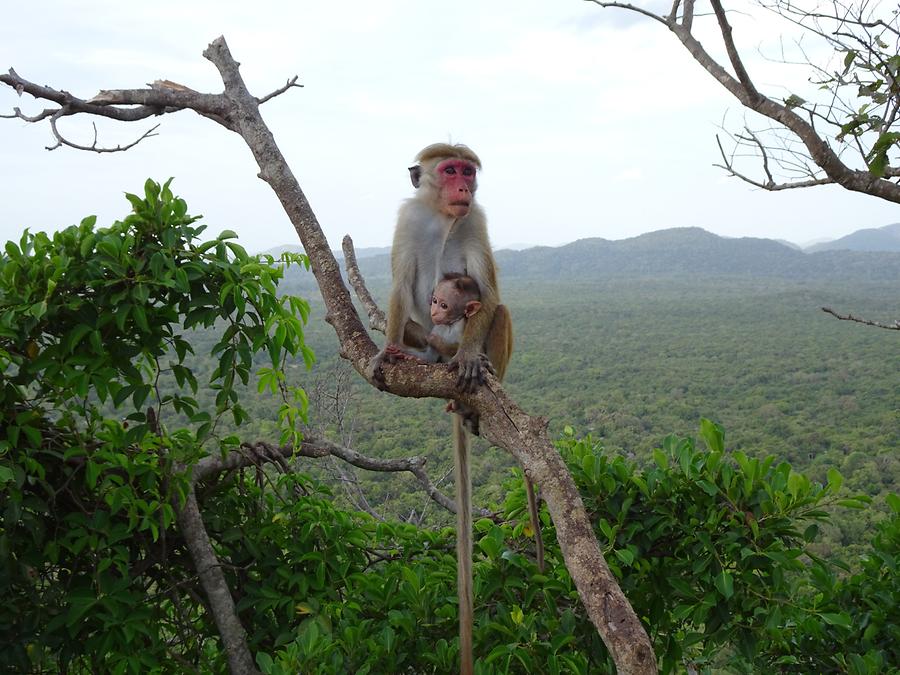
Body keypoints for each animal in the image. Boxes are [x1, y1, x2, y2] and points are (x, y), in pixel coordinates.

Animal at [370, 144, 540, 675]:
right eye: (449, 171)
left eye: (467, 171)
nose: (464, 186)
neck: (444, 217)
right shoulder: (407, 219)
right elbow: (400, 285)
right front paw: (384, 353)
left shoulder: (475, 219)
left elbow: (486, 293)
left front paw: (467, 357)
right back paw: (419, 358)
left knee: (499, 311)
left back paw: (474, 389)